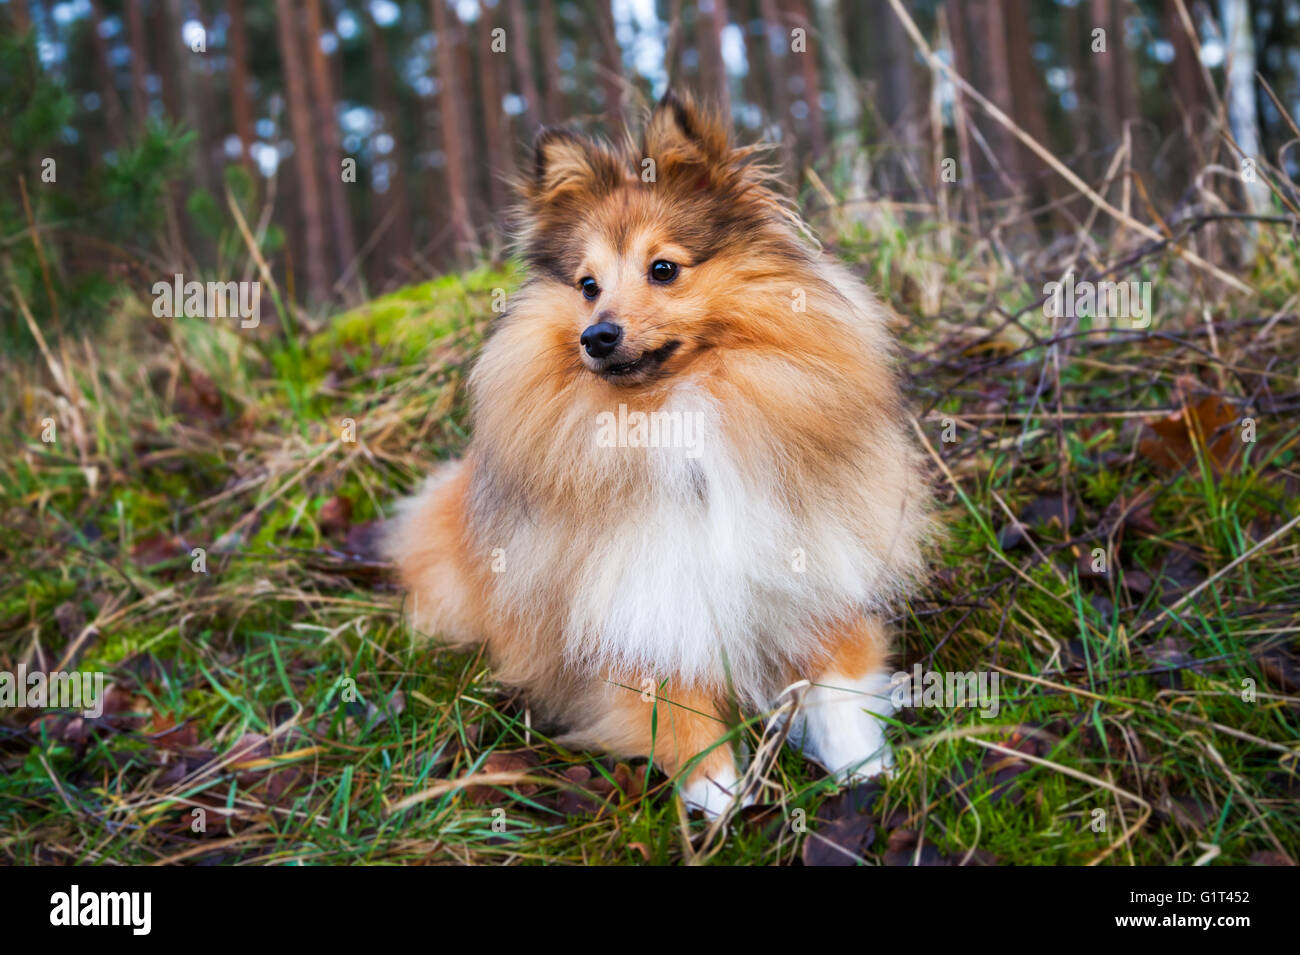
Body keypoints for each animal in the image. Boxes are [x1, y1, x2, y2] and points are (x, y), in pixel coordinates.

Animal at [379, 91, 930, 815]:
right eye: (587, 284)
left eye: (663, 268)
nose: (597, 336)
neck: (675, 417)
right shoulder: (638, 601)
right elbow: (675, 702)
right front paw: (717, 794)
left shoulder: (816, 568)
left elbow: (839, 680)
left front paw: (864, 771)